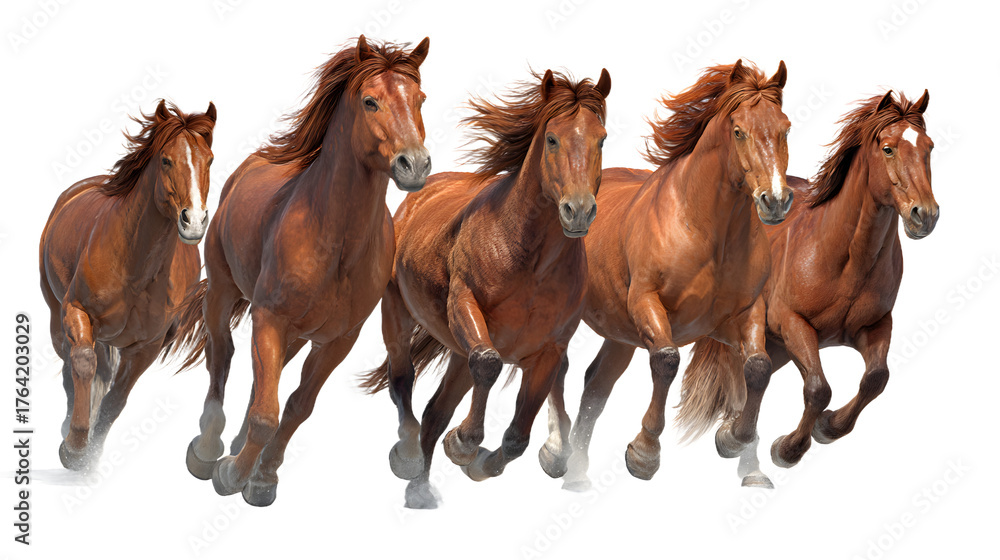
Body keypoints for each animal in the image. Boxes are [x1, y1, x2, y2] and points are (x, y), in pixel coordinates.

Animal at [39, 100, 216, 470]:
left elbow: (116, 399)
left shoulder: (148, 344)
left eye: (208, 160)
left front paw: (90, 456)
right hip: (55, 314)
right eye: (165, 160)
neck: (135, 269)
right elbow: (82, 365)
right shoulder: (77, 312)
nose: (193, 221)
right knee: (69, 367)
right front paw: (74, 448)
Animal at [176, 36, 431, 507]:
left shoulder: (338, 340)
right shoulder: (269, 319)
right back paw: (208, 449)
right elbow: (265, 413)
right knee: (221, 356)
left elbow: (295, 407)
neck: (335, 245)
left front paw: (262, 478)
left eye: (420, 99)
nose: (415, 165)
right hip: (222, 292)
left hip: (294, 334)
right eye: (370, 101)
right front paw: (231, 475)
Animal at [360, 68, 612, 509]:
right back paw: (408, 460)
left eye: (601, 138)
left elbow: (517, 436)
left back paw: (420, 491)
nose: (578, 210)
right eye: (552, 138)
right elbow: (490, 364)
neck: (531, 262)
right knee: (403, 379)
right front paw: (463, 444)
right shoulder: (465, 306)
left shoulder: (549, 349)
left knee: (436, 410)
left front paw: (479, 461)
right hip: (398, 314)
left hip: (458, 353)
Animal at [539, 60, 793, 491]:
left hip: (620, 334)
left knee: (595, 386)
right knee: (560, 370)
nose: (774, 201)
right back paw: (556, 454)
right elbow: (667, 361)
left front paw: (739, 448)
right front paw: (644, 454)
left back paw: (577, 473)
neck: (707, 230)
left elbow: (757, 370)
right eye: (738, 131)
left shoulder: (740, 316)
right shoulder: (648, 304)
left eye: (785, 128)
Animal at [676, 90, 938, 474]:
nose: (925, 215)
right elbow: (818, 388)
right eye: (888, 148)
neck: (847, 260)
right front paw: (788, 449)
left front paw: (829, 425)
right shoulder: (794, 325)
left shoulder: (875, 325)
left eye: (929, 147)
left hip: (776, 345)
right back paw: (734, 434)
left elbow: (876, 379)